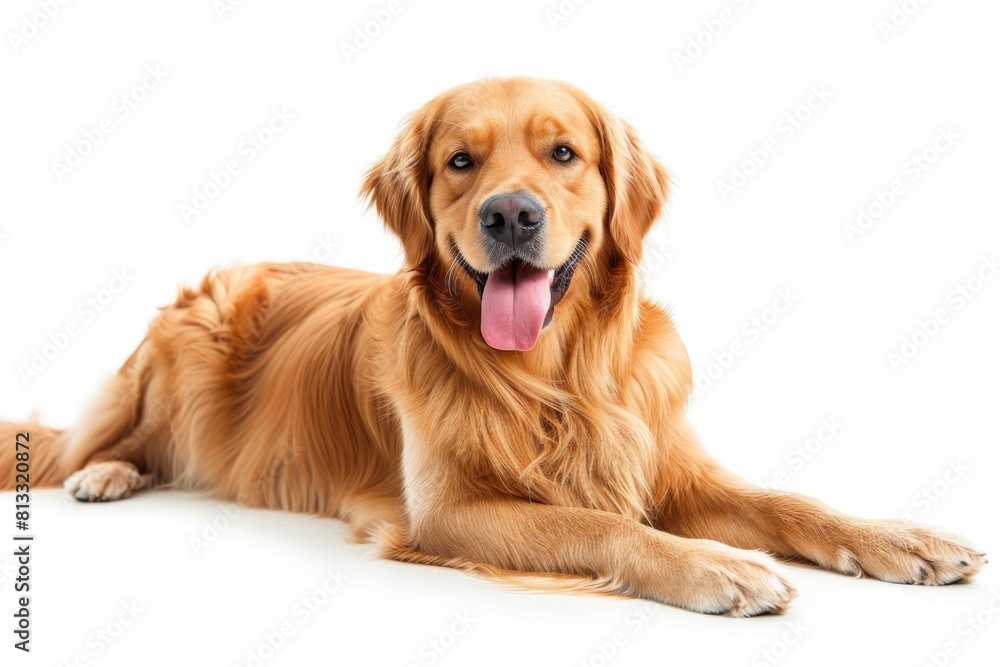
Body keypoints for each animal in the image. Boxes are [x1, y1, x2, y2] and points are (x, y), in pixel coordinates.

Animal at [0, 77, 984, 616]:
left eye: (563, 153)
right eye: (460, 162)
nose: (511, 215)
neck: (557, 377)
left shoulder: (667, 462)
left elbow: (789, 501)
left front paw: (902, 538)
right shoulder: (447, 509)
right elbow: (598, 523)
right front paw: (713, 564)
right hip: (192, 351)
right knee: (107, 441)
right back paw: (106, 473)